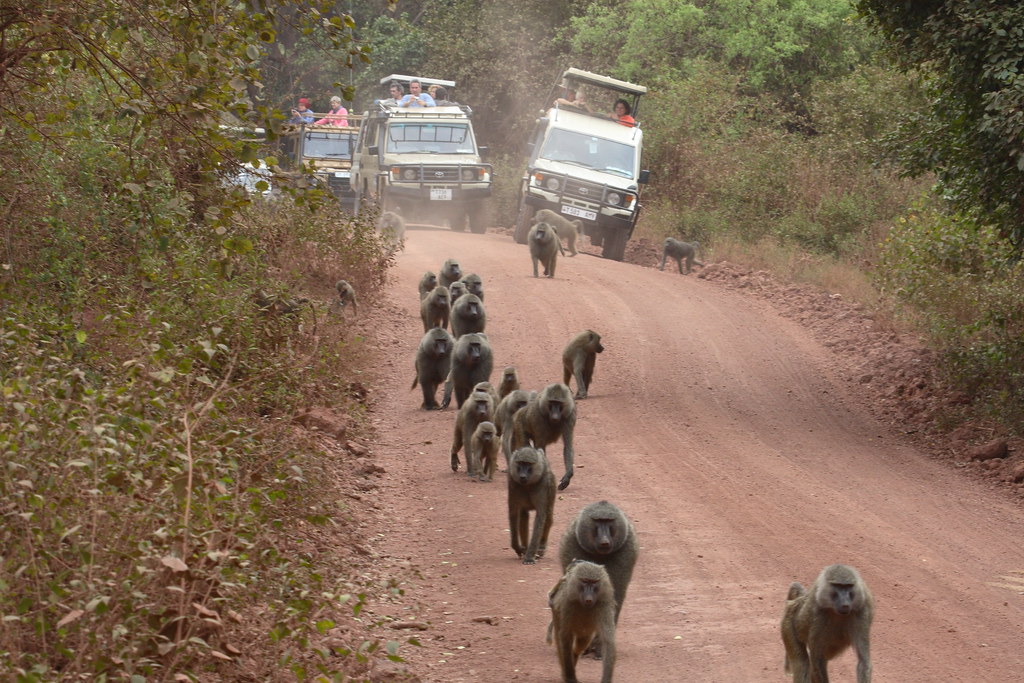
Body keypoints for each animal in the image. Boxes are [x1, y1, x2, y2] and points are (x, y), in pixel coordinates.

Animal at [558, 500, 638, 658]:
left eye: (608, 521)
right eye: (598, 521)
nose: (604, 541)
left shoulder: (626, 550)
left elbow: (612, 597)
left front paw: (601, 646)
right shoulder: (572, 543)